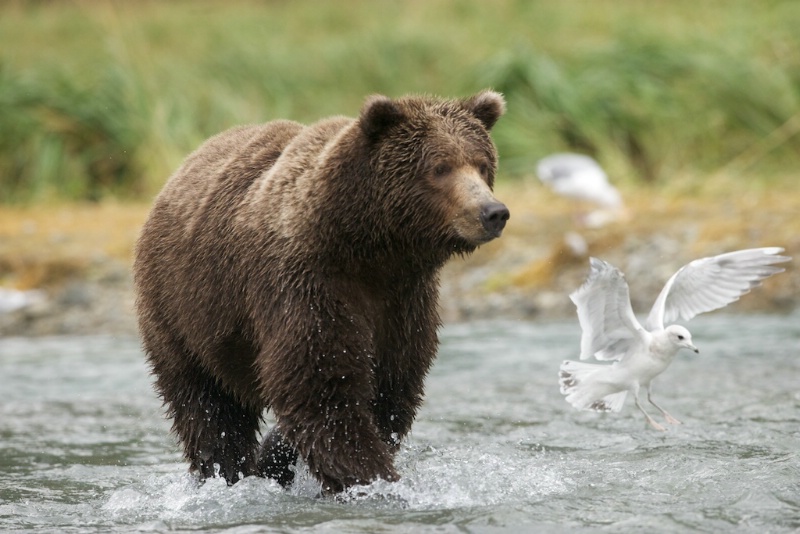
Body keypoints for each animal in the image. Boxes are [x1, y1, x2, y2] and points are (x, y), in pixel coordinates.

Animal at [131, 90, 506, 496]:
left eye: (482, 164)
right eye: (440, 167)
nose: (492, 212)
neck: (370, 249)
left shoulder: (405, 303)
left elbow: (388, 390)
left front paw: (277, 454)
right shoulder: (305, 285)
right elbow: (322, 389)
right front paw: (373, 480)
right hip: (183, 311)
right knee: (208, 409)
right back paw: (225, 472)